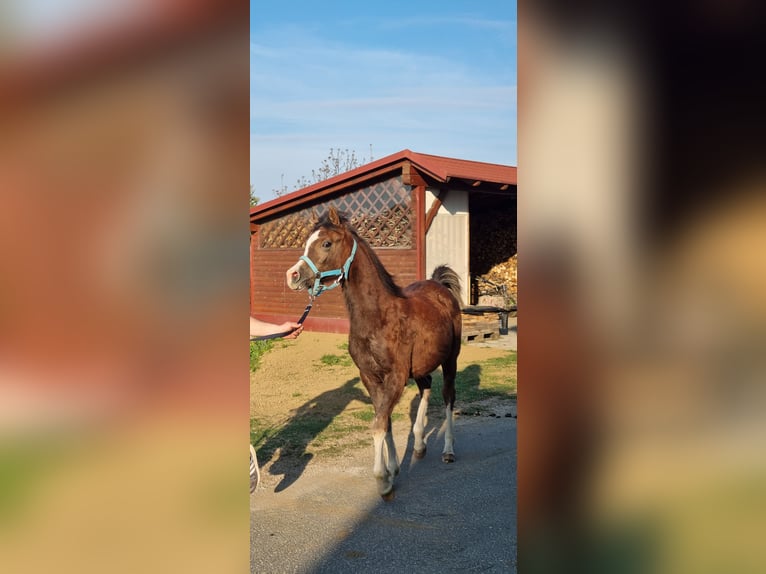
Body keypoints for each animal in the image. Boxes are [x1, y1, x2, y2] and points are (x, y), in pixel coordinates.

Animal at [285, 206, 463, 499]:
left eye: (326, 243)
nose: (292, 276)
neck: (378, 317)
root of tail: (440, 287)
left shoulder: (395, 377)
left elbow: (379, 423)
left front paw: (382, 481)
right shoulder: (370, 377)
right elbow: (385, 419)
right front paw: (393, 468)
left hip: (450, 360)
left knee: (448, 396)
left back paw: (448, 450)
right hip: (420, 367)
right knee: (426, 387)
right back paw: (419, 445)